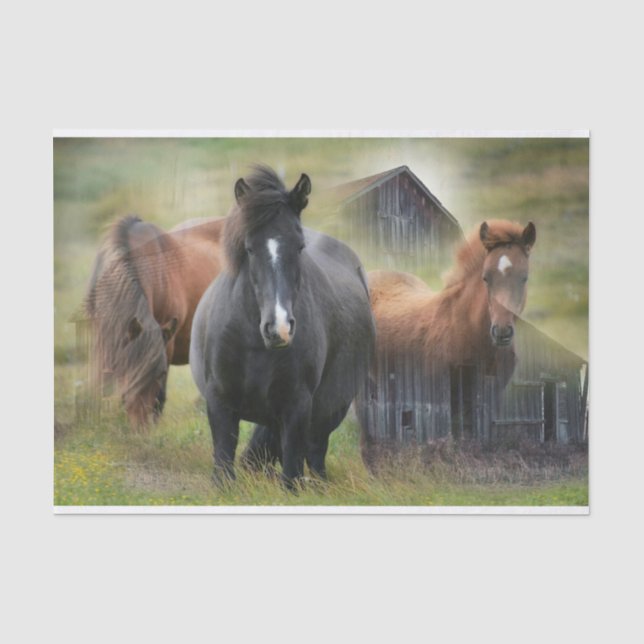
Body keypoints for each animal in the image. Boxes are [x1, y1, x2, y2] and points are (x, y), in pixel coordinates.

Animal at [190, 166, 375, 488]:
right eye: (249, 248)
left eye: (299, 247)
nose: (279, 328)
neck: (254, 345)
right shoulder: (219, 402)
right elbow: (224, 466)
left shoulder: (298, 407)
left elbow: (291, 476)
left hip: (329, 411)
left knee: (315, 454)